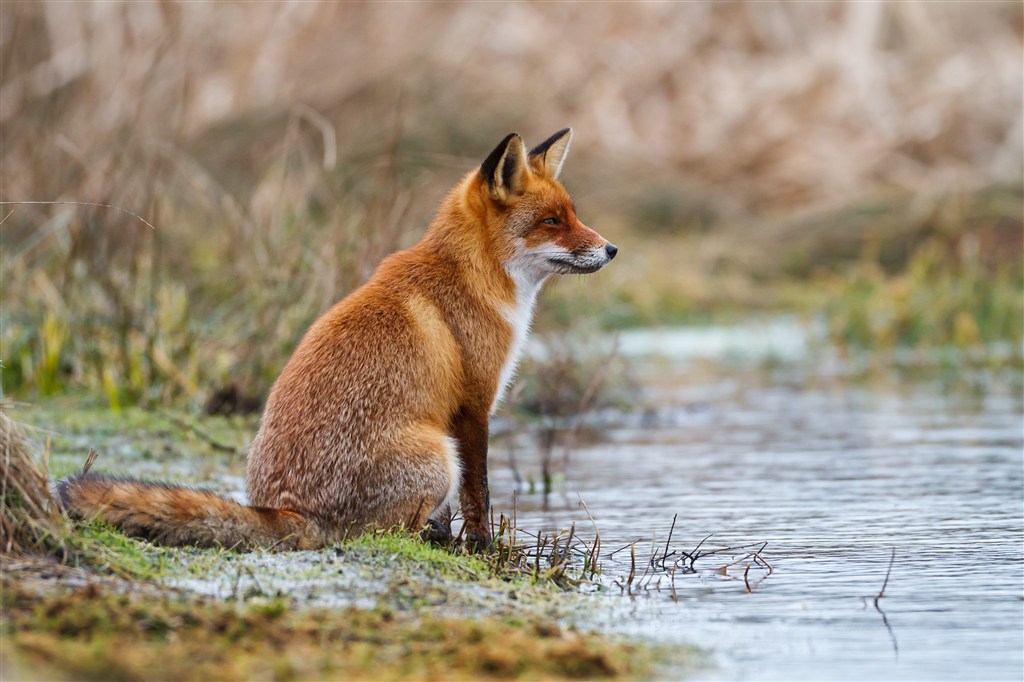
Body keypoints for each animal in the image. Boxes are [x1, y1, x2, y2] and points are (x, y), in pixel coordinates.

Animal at [61, 129, 614, 552]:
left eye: (573, 214)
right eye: (551, 221)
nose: (611, 249)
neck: (472, 276)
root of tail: (289, 509)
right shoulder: (473, 407)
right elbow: (479, 494)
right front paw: (482, 546)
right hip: (438, 453)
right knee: (387, 533)